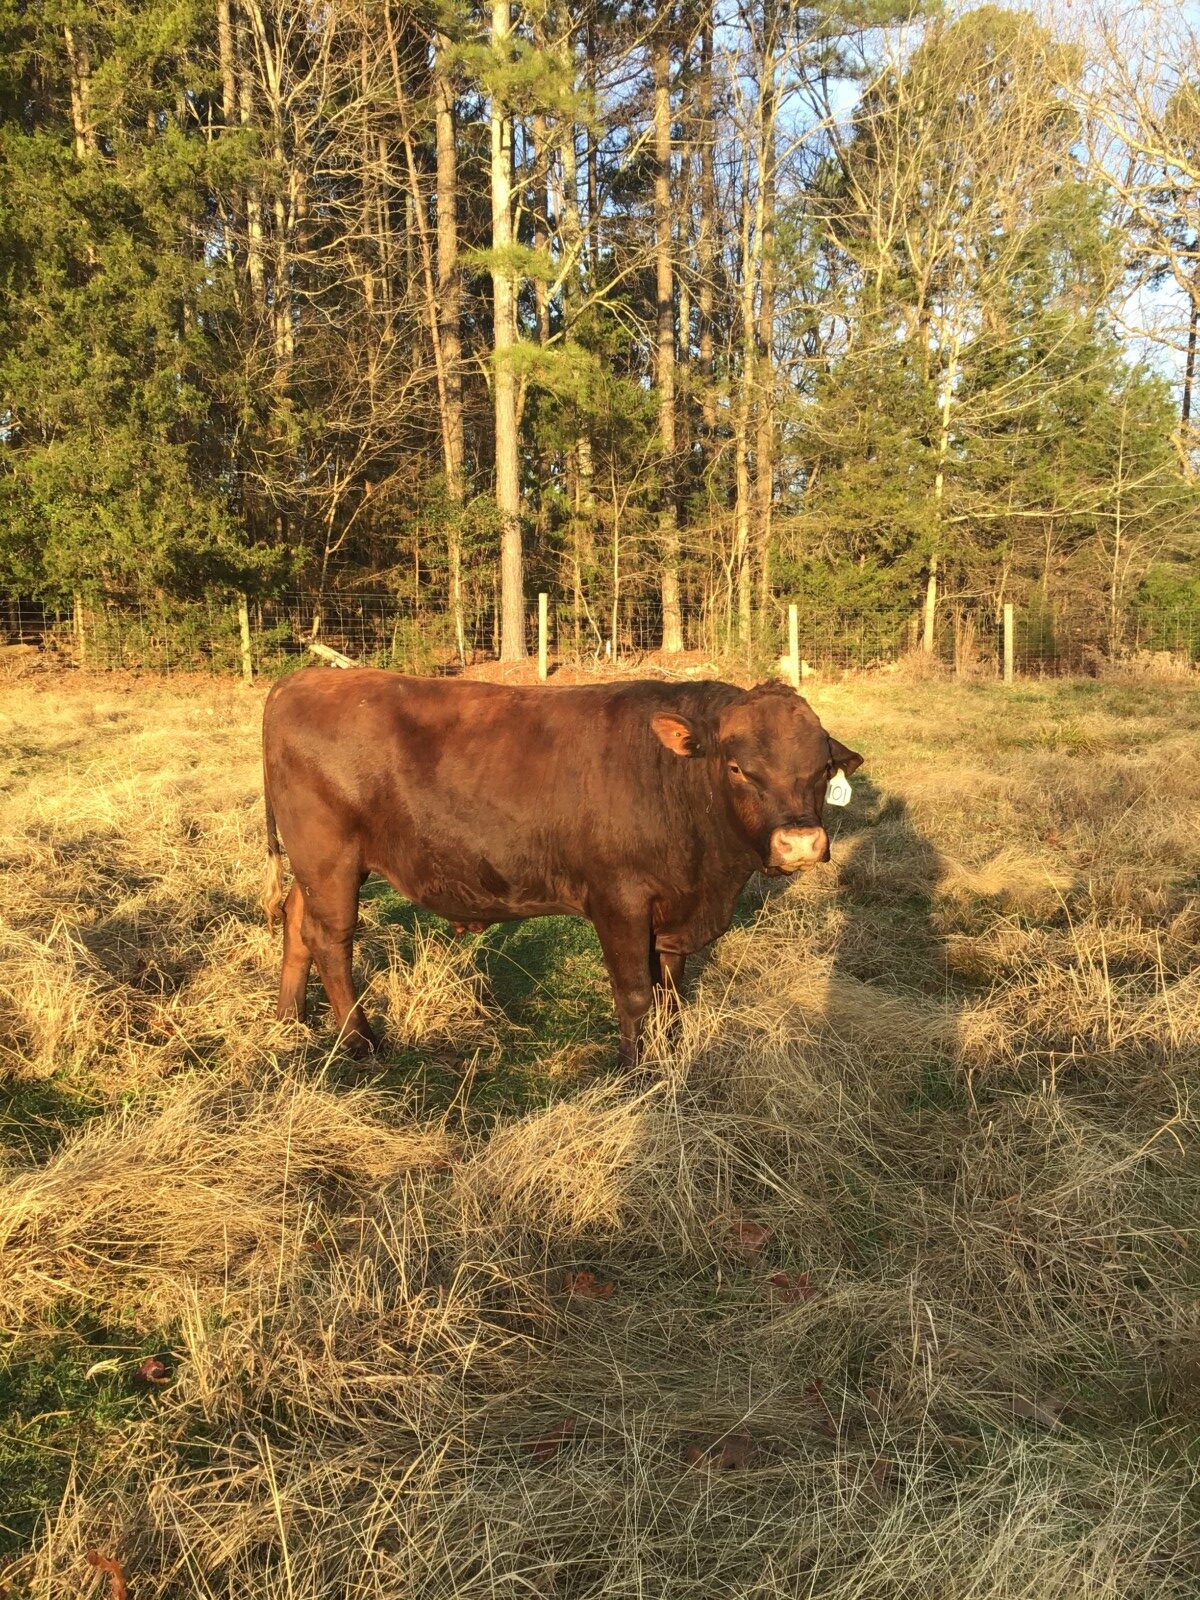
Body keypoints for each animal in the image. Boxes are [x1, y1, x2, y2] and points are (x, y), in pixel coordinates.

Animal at [261, 670, 863, 1066]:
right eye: (738, 768)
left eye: (822, 768)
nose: (800, 843)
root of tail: (301, 679)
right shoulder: (619, 900)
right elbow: (636, 992)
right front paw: (634, 1070)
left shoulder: (674, 908)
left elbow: (670, 989)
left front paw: (669, 1052)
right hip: (330, 858)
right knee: (330, 937)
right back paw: (360, 1041)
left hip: (317, 866)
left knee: (296, 919)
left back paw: (290, 1017)